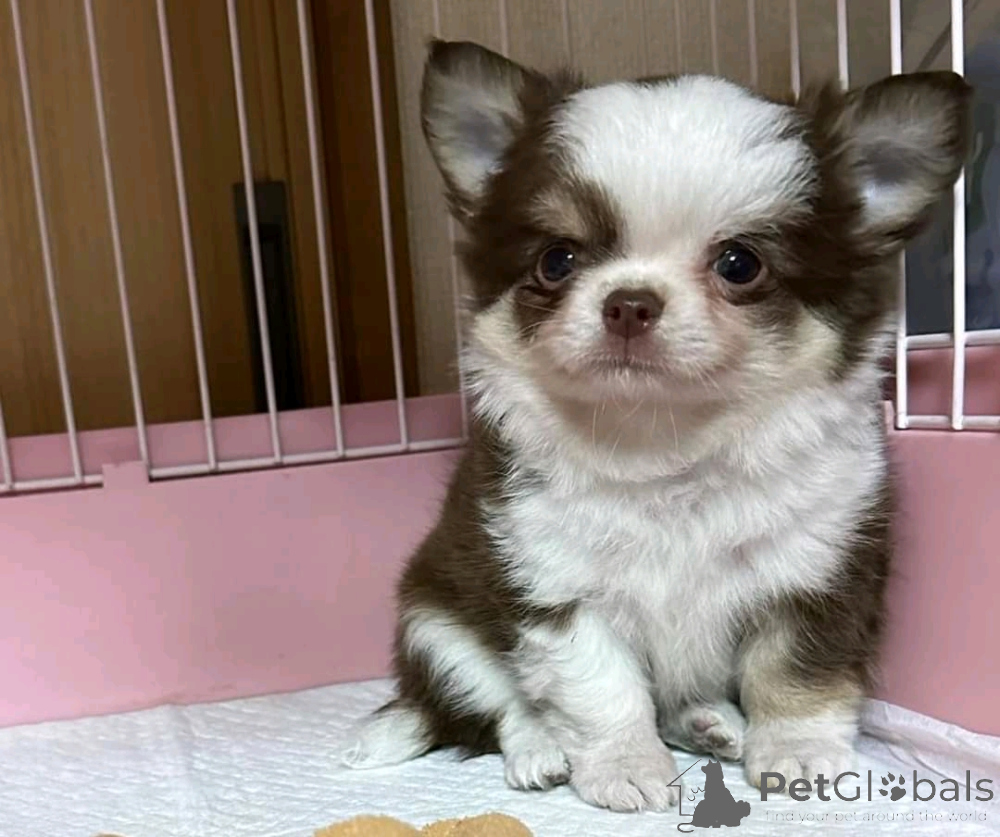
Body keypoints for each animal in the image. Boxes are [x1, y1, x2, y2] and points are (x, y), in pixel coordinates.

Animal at [343, 39, 971, 813]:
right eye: (557, 259)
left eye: (739, 263)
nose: (629, 301)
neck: (667, 446)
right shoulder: (552, 582)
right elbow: (598, 689)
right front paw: (624, 765)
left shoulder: (818, 571)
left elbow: (797, 672)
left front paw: (797, 753)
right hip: (435, 621)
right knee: (497, 706)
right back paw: (541, 750)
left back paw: (710, 722)